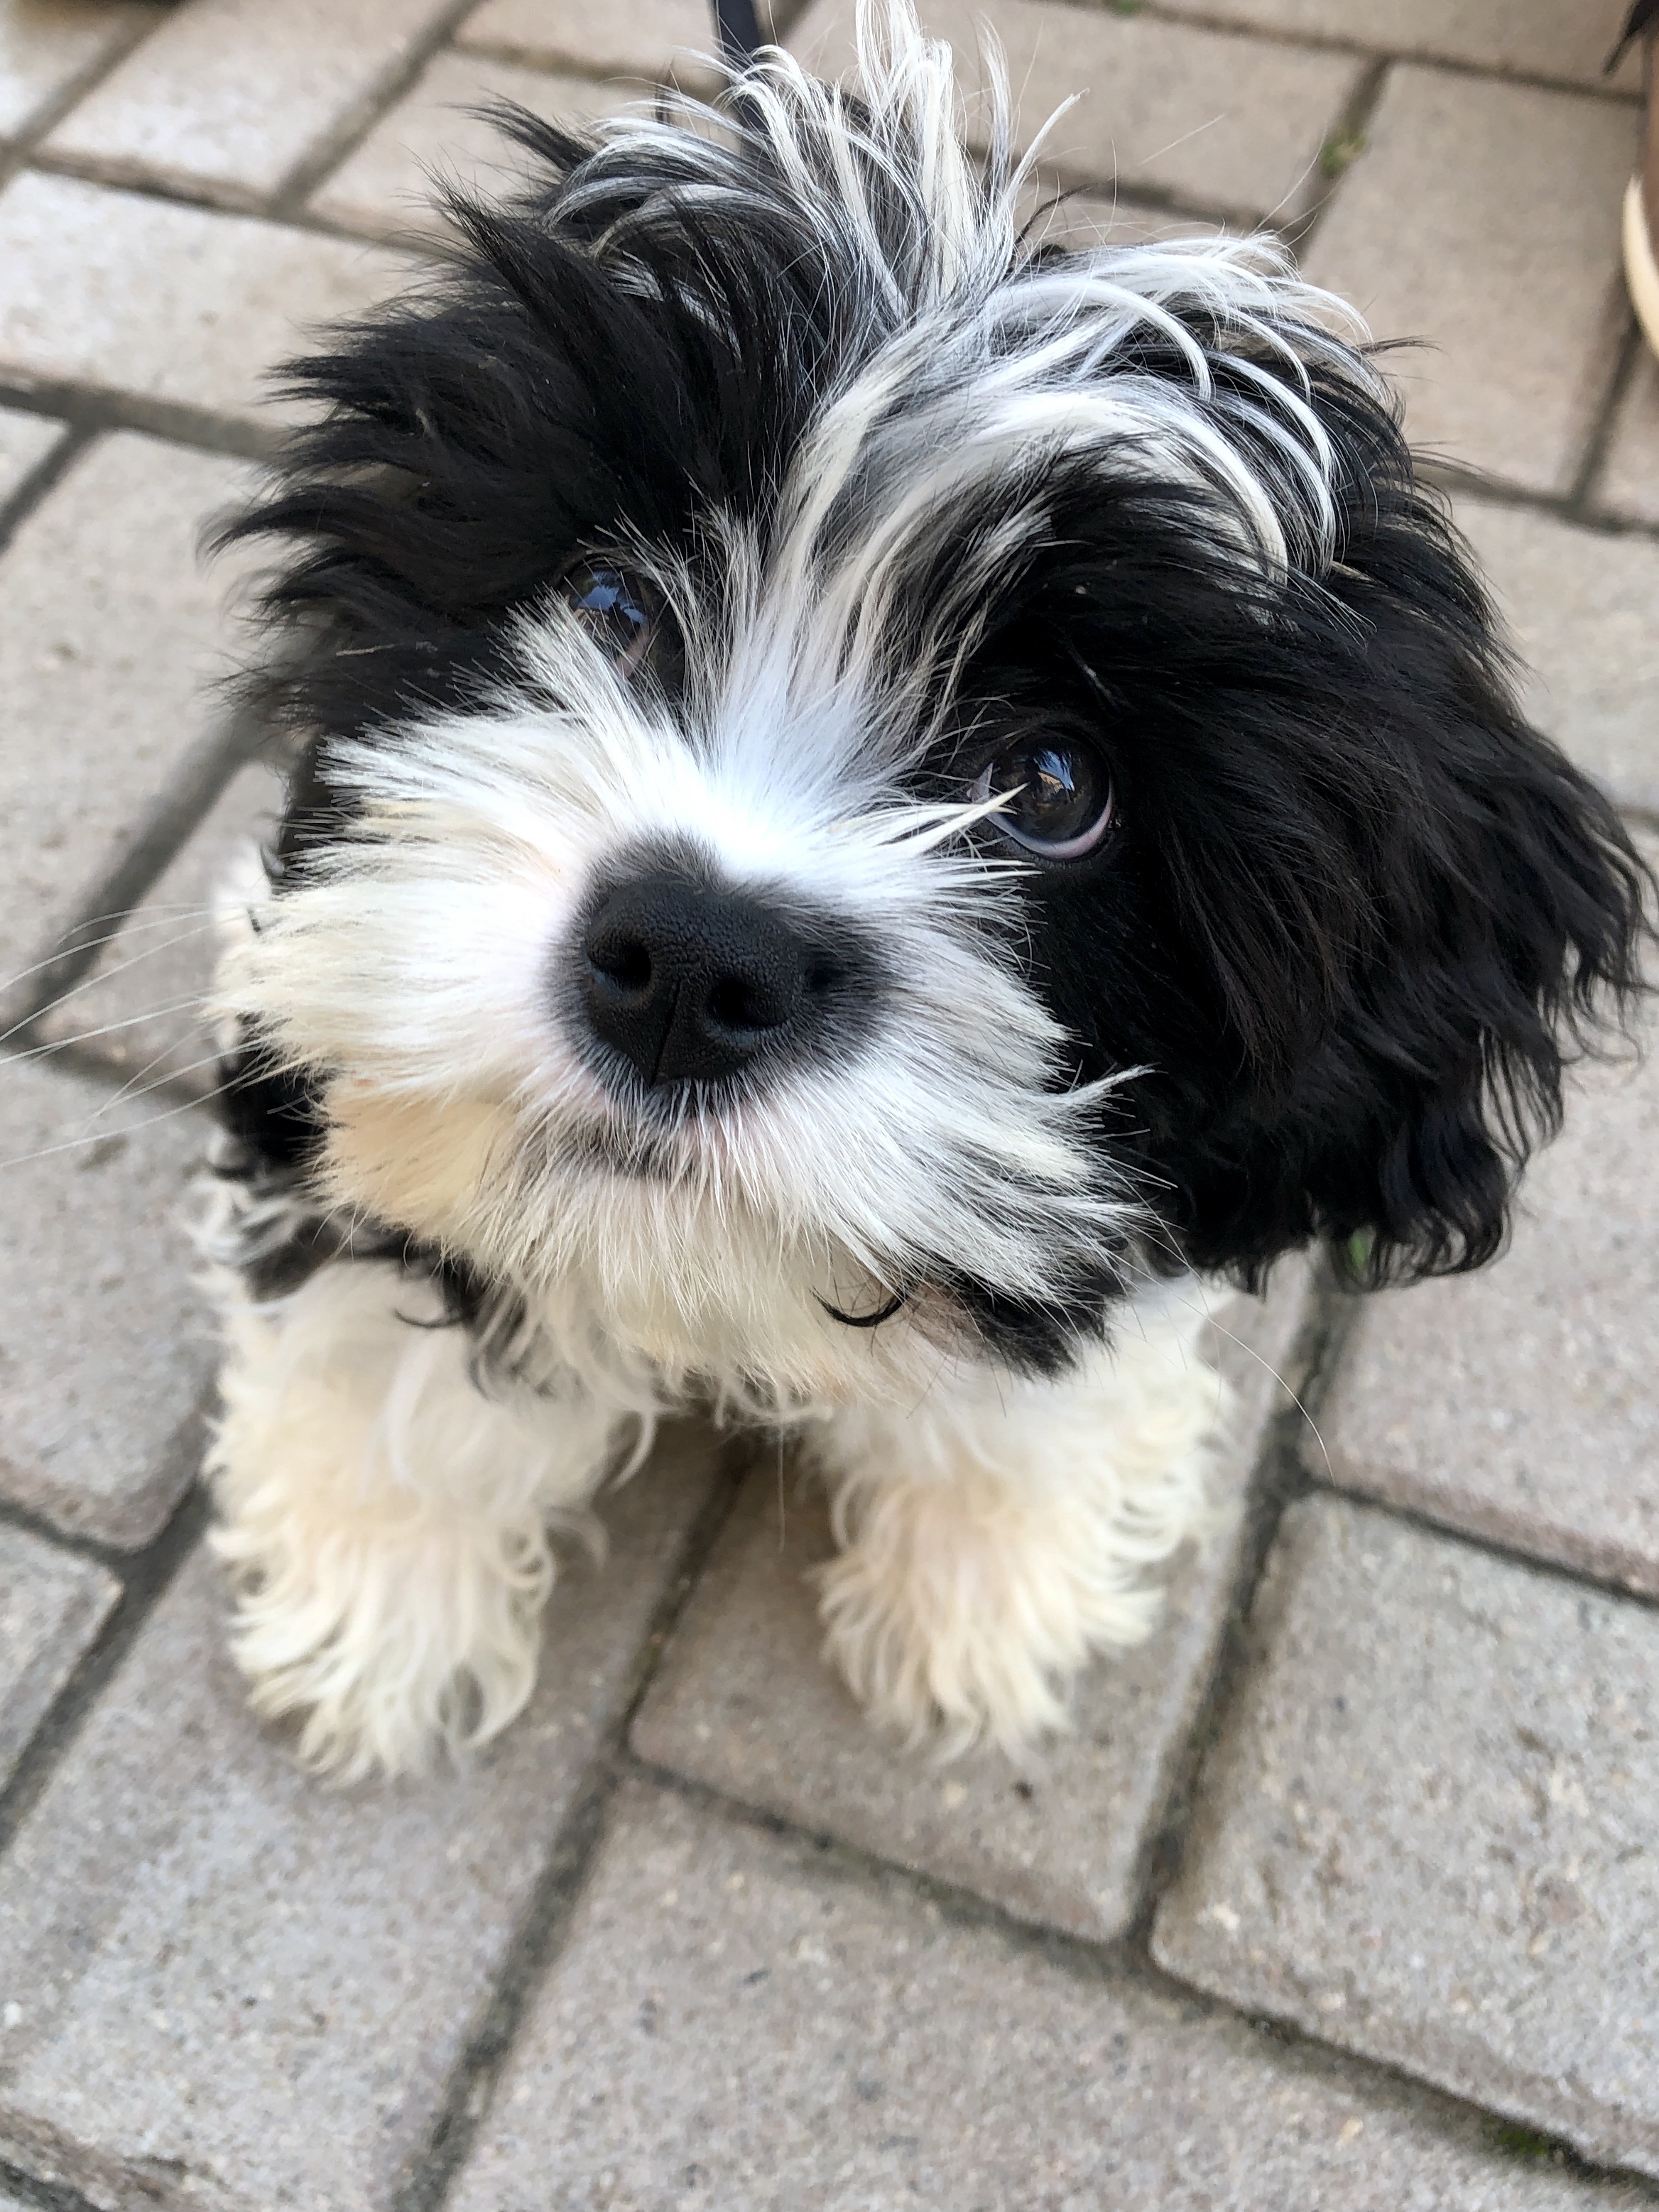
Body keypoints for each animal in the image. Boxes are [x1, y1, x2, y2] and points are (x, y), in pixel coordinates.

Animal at [199, 1, 1651, 1781]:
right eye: (610, 606)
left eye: (1052, 788)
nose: (695, 958)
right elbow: (386, 1319)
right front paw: (382, 1598)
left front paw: (985, 1597)